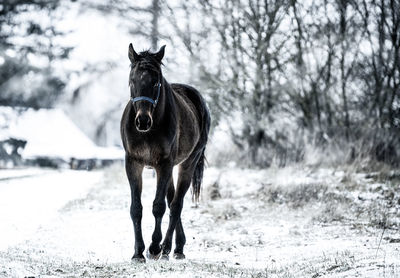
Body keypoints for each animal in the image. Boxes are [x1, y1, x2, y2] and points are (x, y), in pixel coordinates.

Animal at [120, 42, 211, 262]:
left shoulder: (164, 164)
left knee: (176, 205)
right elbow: (136, 208)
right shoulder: (133, 163)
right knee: (172, 201)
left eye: (156, 83)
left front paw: (153, 247)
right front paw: (138, 252)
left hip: (187, 164)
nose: (142, 121)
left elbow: (158, 206)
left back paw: (169, 247)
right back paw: (175, 247)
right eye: (132, 80)